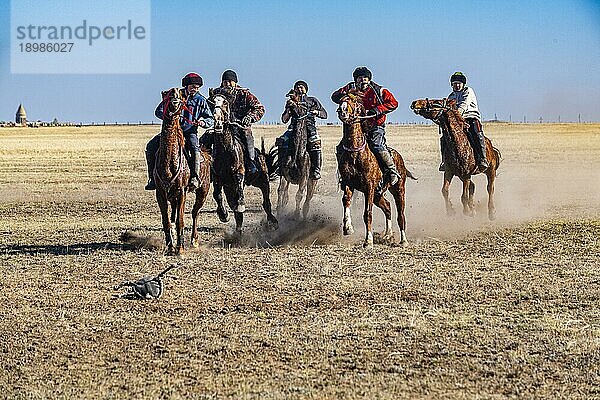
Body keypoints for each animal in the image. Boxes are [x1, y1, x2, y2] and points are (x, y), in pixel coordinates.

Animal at [154, 89, 212, 255]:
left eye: (181, 96)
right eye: (167, 94)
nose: (174, 92)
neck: (168, 164)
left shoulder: (181, 192)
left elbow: (180, 220)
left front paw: (180, 249)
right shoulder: (160, 193)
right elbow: (166, 221)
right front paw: (170, 247)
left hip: (203, 190)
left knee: (195, 212)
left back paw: (194, 241)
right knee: (174, 216)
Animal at [207, 90, 278, 234]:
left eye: (225, 102)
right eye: (212, 102)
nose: (218, 120)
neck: (226, 150)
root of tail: (261, 155)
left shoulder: (239, 172)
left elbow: (239, 187)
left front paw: (240, 205)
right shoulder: (218, 178)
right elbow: (217, 195)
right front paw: (223, 214)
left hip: (263, 181)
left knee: (266, 203)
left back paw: (273, 221)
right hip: (230, 188)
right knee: (236, 211)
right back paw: (238, 232)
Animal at [276, 88, 316, 219]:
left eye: (303, 105)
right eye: (287, 105)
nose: (290, 101)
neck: (298, 153)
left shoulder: (304, 176)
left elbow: (299, 194)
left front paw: (297, 214)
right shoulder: (284, 173)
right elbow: (281, 191)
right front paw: (278, 213)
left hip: (312, 180)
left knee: (308, 198)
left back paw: (304, 214)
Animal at [336, 91, 414, 247]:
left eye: (355, 101)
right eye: (340, 100)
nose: (342, 111)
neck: (355, 153)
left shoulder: (369, 187)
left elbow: (368, 213)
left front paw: (368, 240)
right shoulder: (348, 183)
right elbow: (346, 201)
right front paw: (348, 228)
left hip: (398, 189)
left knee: (400, 214)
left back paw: (403, 240)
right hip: (378, 194)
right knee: (388, 207)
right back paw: (388, 234)